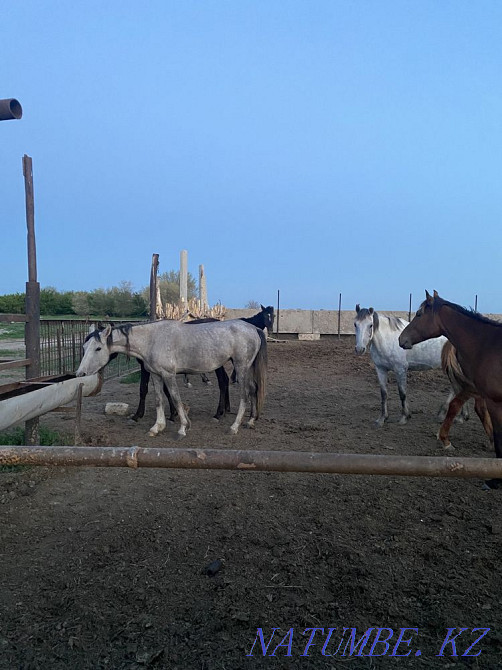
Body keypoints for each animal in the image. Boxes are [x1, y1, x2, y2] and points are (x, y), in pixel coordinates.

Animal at [76, 319, 267, 437]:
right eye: (84, 347)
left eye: (98, 348)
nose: (80, 374)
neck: (152, 339)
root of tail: (253, 329)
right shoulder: (156, 375)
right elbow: (159, 399)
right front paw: (157, 427)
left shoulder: (169, 375)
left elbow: (175, 398)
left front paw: (183, 428)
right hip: (247, 368)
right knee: (253, 389)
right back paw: (250, 421)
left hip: (241, 367)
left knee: (244, 394)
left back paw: (234, 426)